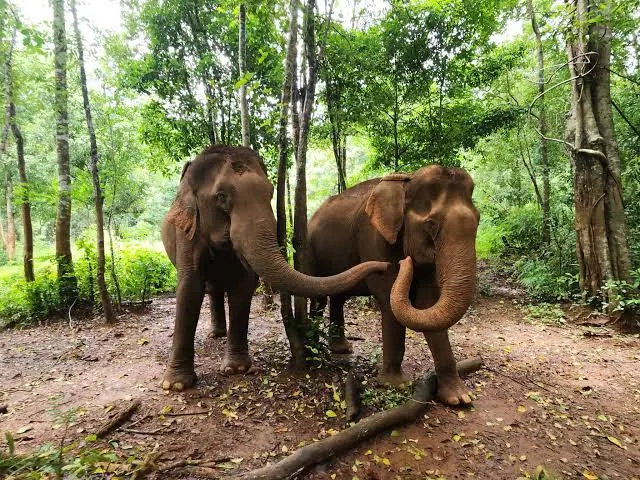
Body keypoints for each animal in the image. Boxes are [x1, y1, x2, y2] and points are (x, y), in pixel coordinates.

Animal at [160, 145, 388, 391]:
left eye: (270, 193)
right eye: (221, 197)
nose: (385, 265)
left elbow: (243, 287)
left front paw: (236, 369)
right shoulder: (186, 231)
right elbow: (190, 286)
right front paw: (175, 385)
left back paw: (220, 334)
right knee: (211, 288)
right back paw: (215, 334)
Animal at [308, 165, 479, 406]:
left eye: (478, 220)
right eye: (430, 224)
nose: (405, 262)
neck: (406, 184)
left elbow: (428, 304)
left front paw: (459, 398)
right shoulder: (373, 239)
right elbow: (389, 300)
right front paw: (395, 385)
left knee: (338, 297)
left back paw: (341, 348)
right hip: (309, 249)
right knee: (319, 297)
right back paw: (315, 347)